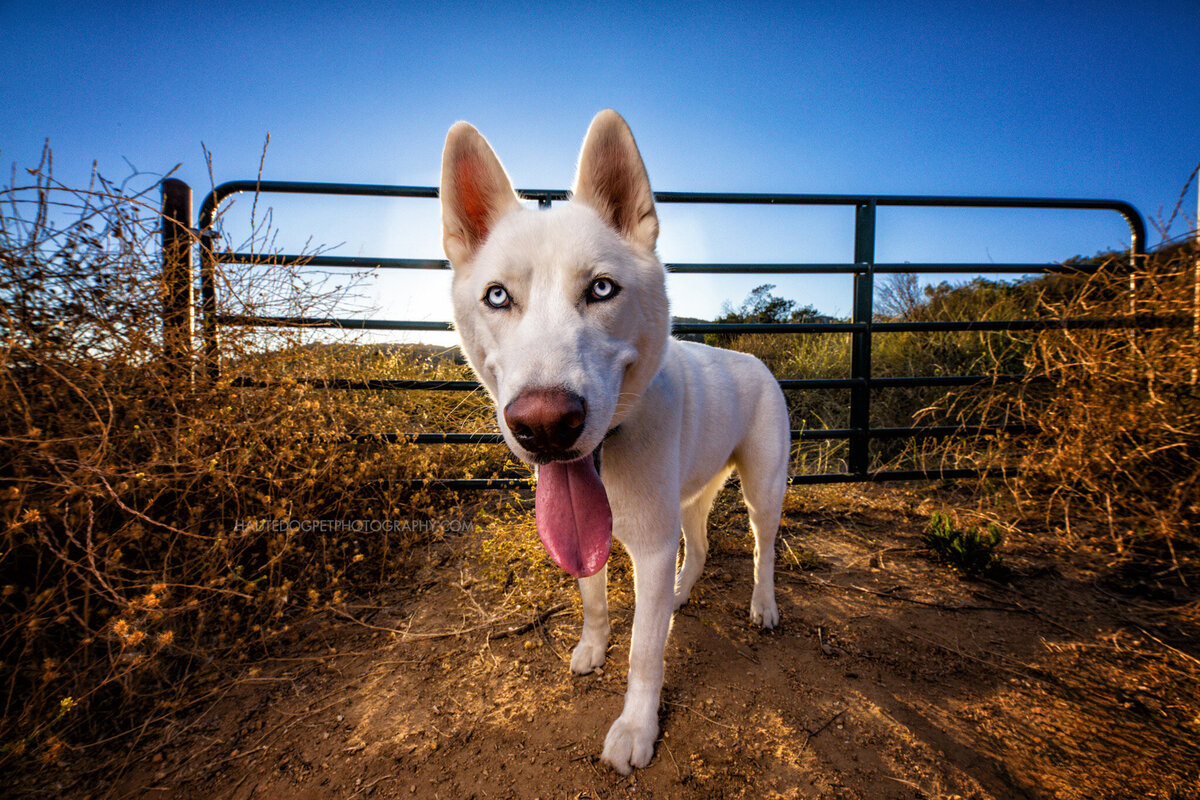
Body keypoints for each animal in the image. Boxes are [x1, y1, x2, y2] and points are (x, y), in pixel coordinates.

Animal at [441, 109, 787, 772]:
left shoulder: (651, 546)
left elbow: (645, 654)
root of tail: (756, 359)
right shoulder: (601, 538)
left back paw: (762, 606)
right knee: (699, 547)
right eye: (497, 295)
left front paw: (635, 728)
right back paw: (677, 597)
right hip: (689, 497)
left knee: (763, 550)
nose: (546, 426)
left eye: (601, 289)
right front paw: (593, 647)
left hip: (763, 491)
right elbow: (596, 603)